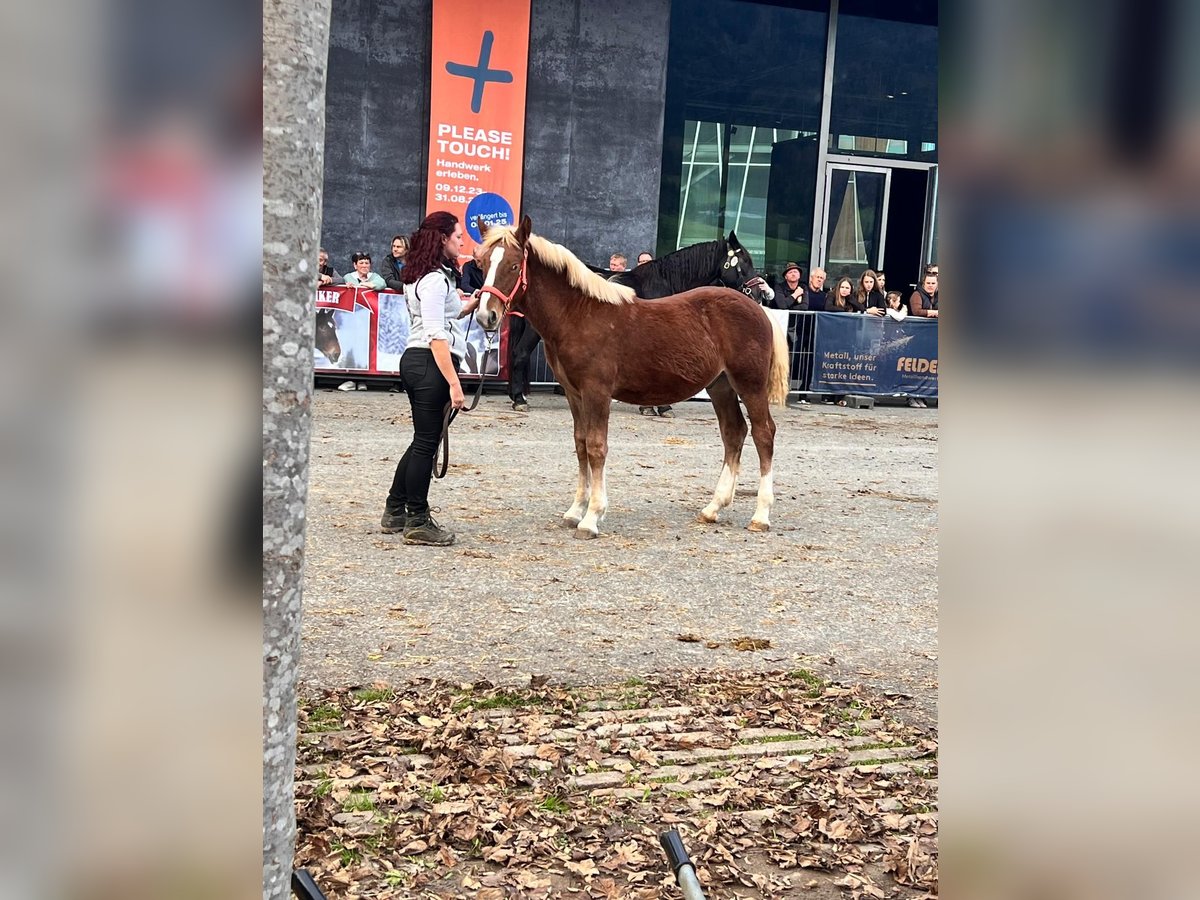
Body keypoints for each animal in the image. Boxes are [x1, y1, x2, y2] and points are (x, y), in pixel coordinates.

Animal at [504, 232, 772, 415]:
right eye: (744, 263)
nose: (759, 294)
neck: (666, 282)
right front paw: (660, 407)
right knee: (520, 354)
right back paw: (519, 400)